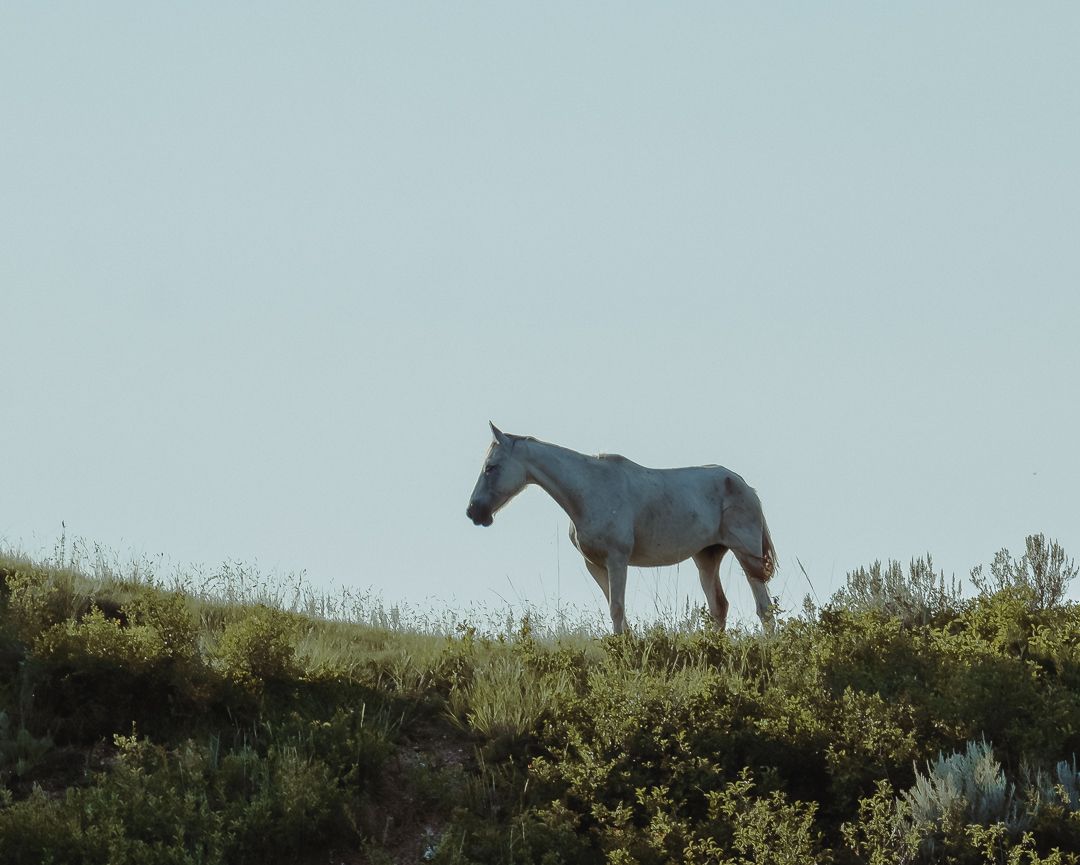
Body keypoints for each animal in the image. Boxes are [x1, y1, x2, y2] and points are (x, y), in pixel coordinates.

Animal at [466, 423, 778, 635]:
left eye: (491, 467)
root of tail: (743, 485)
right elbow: (615, 610)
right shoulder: (595, 565)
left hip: (745, 554)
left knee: (764, 609)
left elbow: (617, 608)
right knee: (719, 607)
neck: (590, 489)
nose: (474, 511)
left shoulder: (617, 560)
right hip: (707, 557)